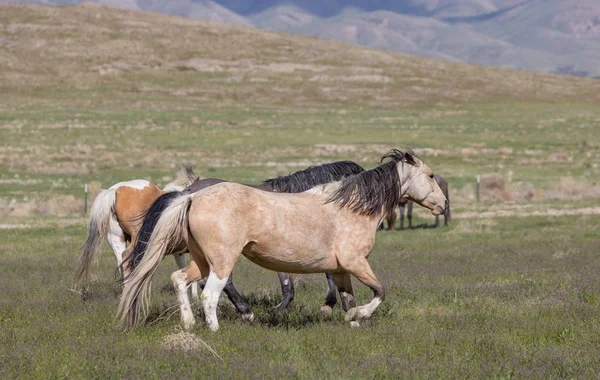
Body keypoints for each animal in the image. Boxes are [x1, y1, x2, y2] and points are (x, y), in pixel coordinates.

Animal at [117, 150, 446, 332]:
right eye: (430, 175)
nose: (442, 204)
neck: (349, 208)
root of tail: (191, 195)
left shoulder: (341, 269)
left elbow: (347, 298)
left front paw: (352, 320)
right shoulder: (355, 263)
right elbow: (379, 291)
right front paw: (358, 315)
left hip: (201, 260)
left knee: (180, 280)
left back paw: (189, 323)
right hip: (222, 261)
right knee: (210, 293)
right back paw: (221, 326)